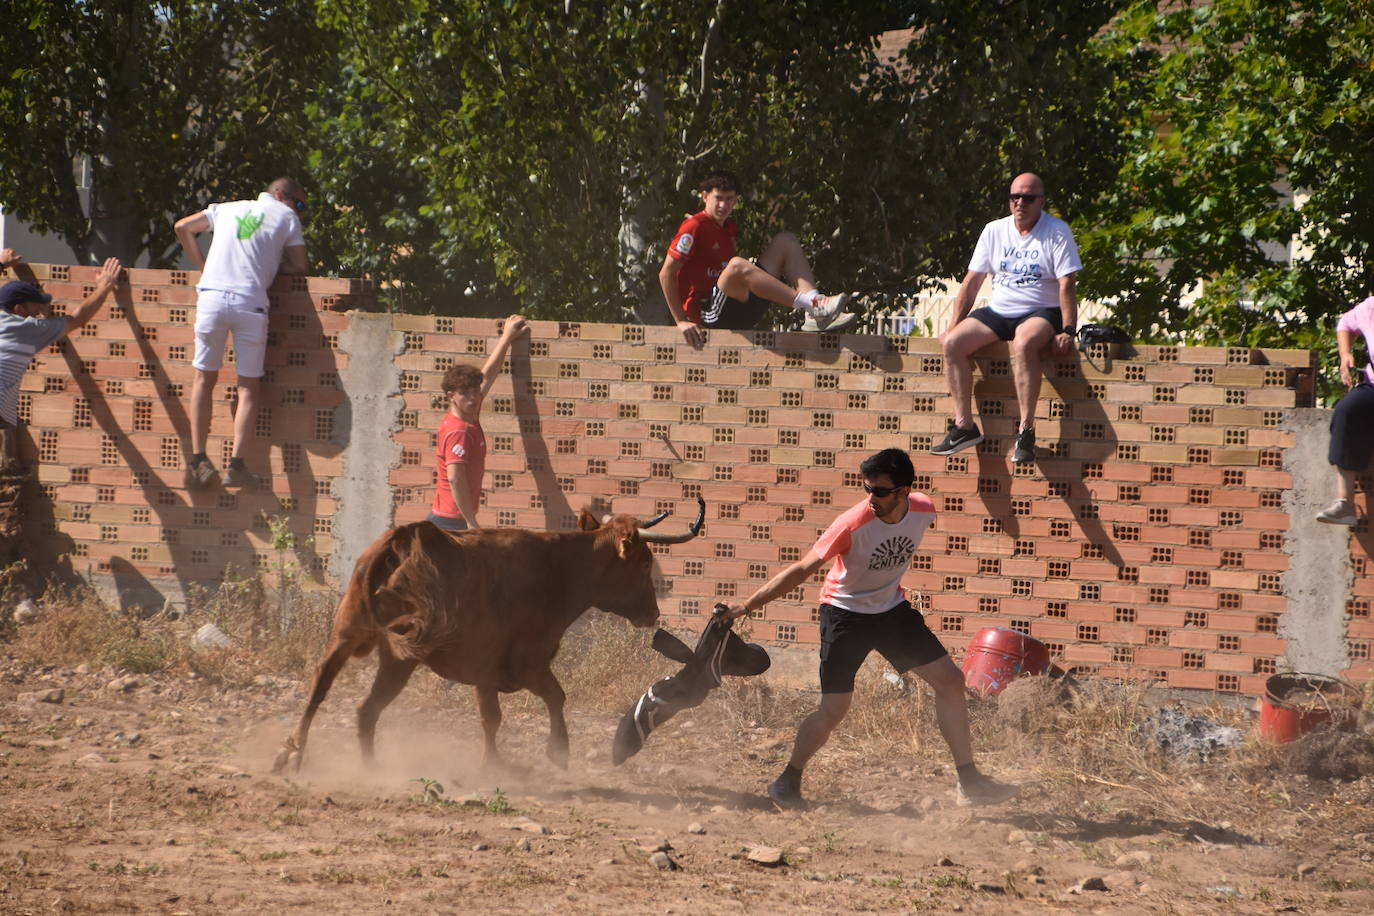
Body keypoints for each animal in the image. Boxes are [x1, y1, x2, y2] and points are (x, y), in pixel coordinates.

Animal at [272, 502, 703, 774]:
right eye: (644, 563)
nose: (653, 613)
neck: (557, 569)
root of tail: (404, 540)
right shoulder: (503, 664)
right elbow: (518, 709)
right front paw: (538, 756)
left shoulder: (518, 666)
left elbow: (547, 699)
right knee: (341, 698)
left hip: (375, 648)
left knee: (345, 699)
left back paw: (331, 758)